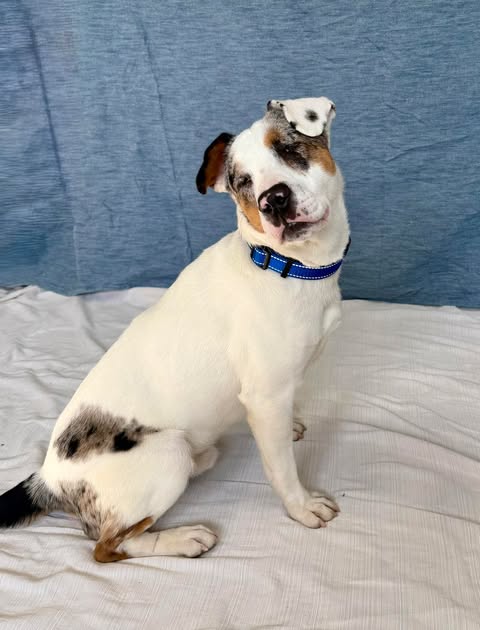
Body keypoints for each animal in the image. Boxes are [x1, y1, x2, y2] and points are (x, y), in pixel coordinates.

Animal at [0, 97, 350, 562]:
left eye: (290, 150)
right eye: (243, 182)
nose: (272, 200)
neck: (285, 267)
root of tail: (50, 478)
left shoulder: (274, 396)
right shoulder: (265, 397)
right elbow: (281, 469)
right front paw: (301, 506)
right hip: (169, 454)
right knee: (108, 547)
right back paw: (183, 538)